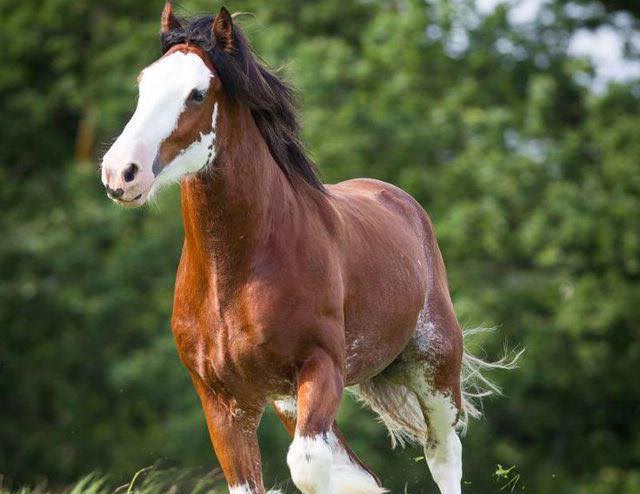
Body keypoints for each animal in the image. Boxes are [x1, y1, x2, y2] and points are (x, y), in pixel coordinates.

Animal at [102, 4, 516, 494]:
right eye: (143, 83)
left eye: (198, 93)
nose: (121, 172)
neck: (234, 273)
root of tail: (401, 202)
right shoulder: (223, 402)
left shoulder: (321, 367)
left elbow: (308, 466)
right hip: (288, 401)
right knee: (363, 472)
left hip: (434, 365)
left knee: (442, 453)